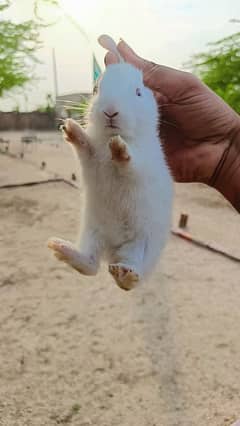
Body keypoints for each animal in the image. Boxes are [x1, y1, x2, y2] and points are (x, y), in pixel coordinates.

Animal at [48, 35, 172, 292]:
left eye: (138, 93)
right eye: (96, 90)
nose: (110, 112)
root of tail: (113, 251)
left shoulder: (142, 165)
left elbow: (130, 165)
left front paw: (118, 148)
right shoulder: (90, 158)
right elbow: (85, 146)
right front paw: (72, 129)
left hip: (142, 245)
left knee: (130, 281)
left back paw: (124, 274)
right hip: (92, 232)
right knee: (91, 266)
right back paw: (62, 249)